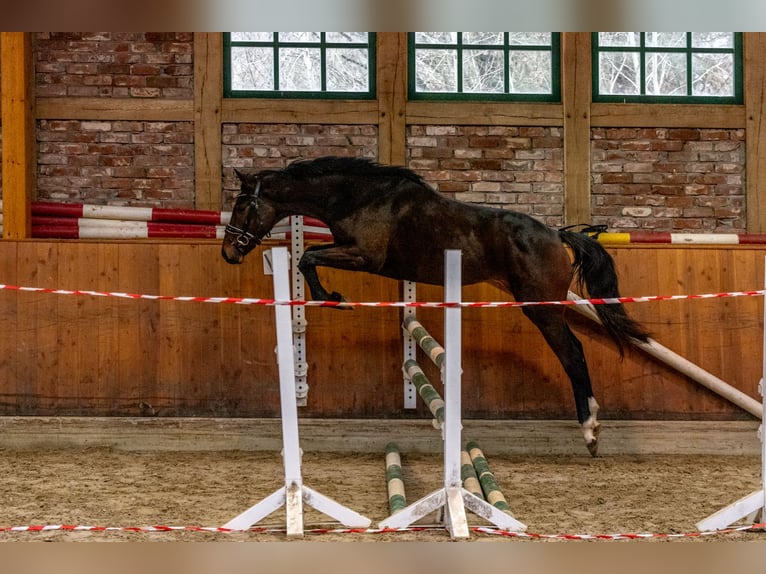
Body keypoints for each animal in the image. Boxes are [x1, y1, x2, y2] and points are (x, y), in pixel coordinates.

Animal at [222, 155, 648, 456]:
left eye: (242, 206)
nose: (229, 253)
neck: (357, 197)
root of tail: (557, 236)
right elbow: (308, 257)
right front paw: (330, 298)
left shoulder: (364, 256)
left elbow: (308, 257)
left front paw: (331, 299)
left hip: (541, 307)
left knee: (573, 354)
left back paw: (590, 429)